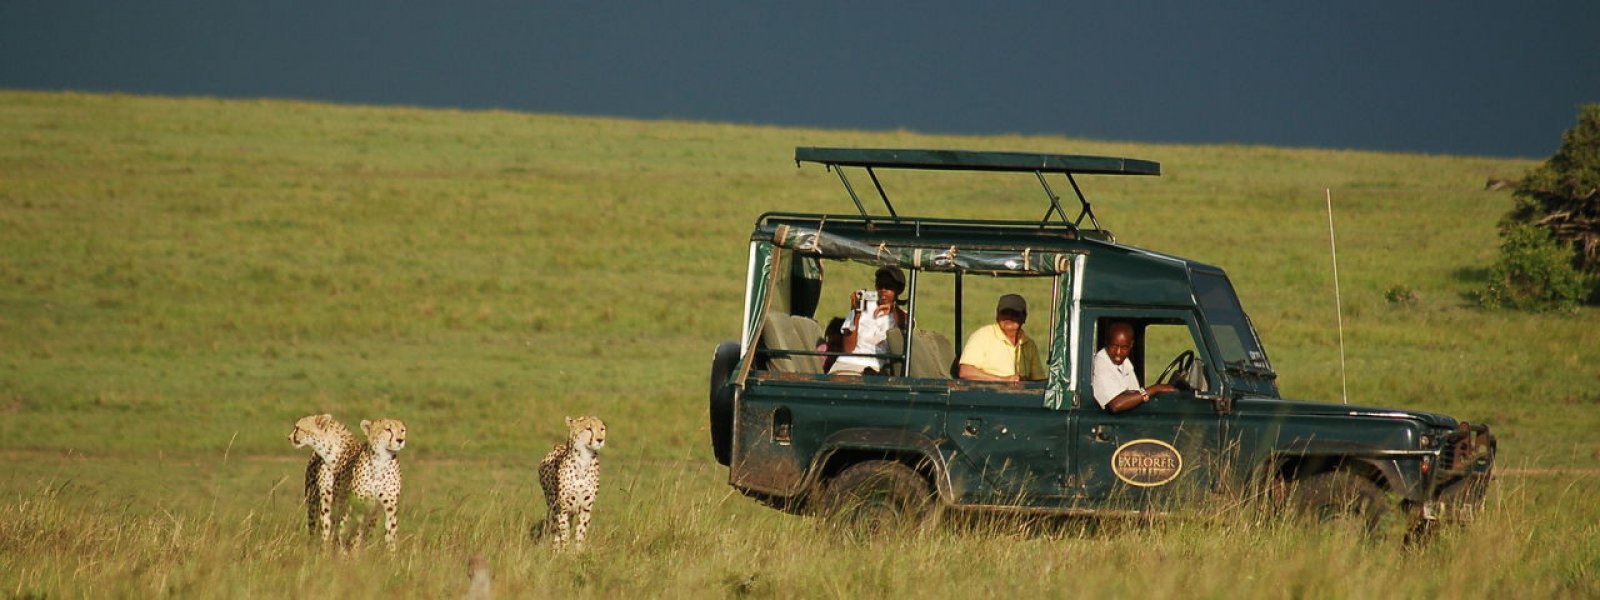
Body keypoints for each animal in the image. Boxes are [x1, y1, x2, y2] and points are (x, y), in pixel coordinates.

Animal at [292, 416, 361, 544]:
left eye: (298, 428)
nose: (289, 437)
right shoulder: (326, 496)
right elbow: (326, 524)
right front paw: (325, 545)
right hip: (312, 502)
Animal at [339, 419, 409, 553]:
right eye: (388, 429)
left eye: (402, 430)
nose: (400, 440)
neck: (381, 461)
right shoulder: (361, 502)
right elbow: (357, 532)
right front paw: (354, 552)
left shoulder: (390, 504)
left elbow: (391, 529)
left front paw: (391, 553)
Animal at [540, 419, 608, 550]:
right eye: (588, 428)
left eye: (602, 429)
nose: (600, 440)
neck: (584, 460)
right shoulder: (563, 508)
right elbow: (564, 533)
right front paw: (565, 551)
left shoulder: (586, 508)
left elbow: (580, 533)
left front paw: (577, 552)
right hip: (553, 507)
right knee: (555, 529)